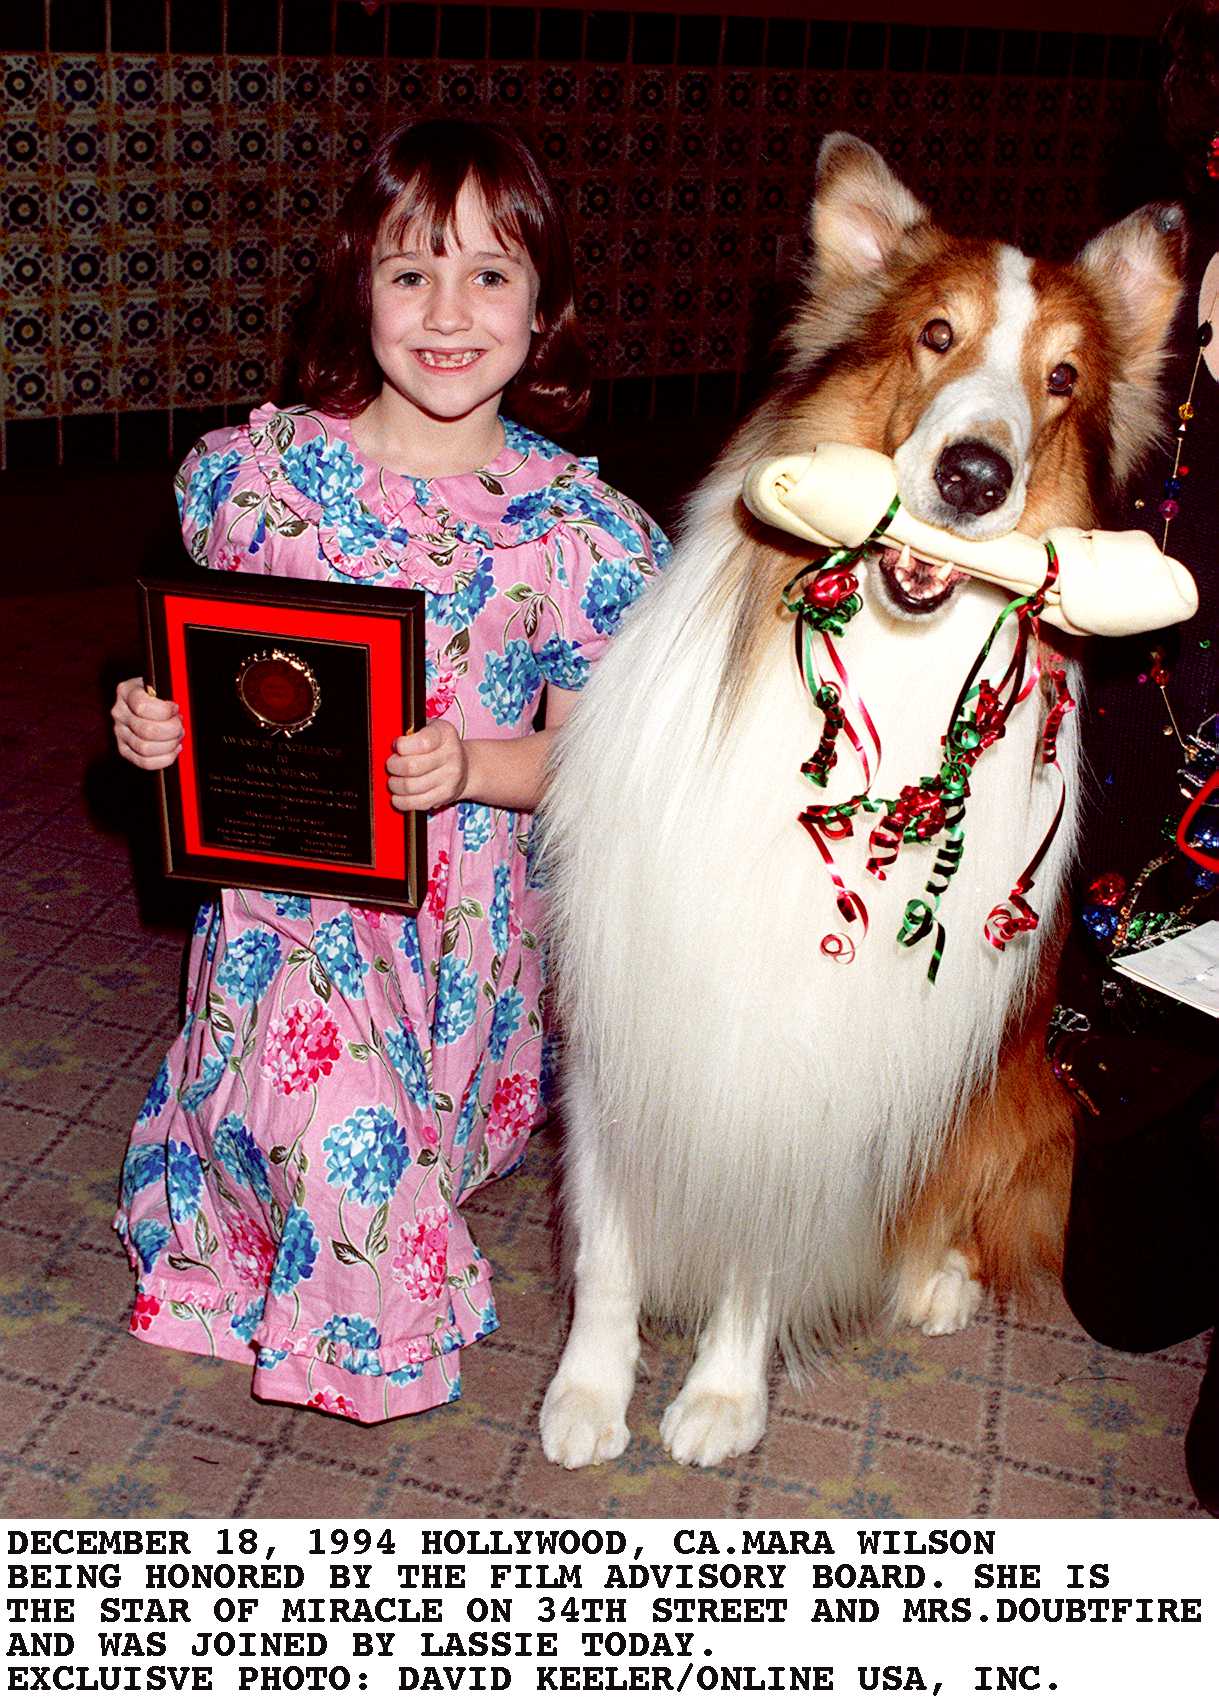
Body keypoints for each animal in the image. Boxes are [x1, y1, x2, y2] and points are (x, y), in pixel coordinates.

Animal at [542, 136, 1179, 1466]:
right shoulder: (626, 995)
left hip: (1013, 1082)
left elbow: (767, 1240)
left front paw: (720, 1394)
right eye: (935, 335)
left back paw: (933, 1278)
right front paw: (586, 1390)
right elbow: (609, 1238)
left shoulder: (822, 1064)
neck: (884, 663)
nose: (974, 476)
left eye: (1060, 379)